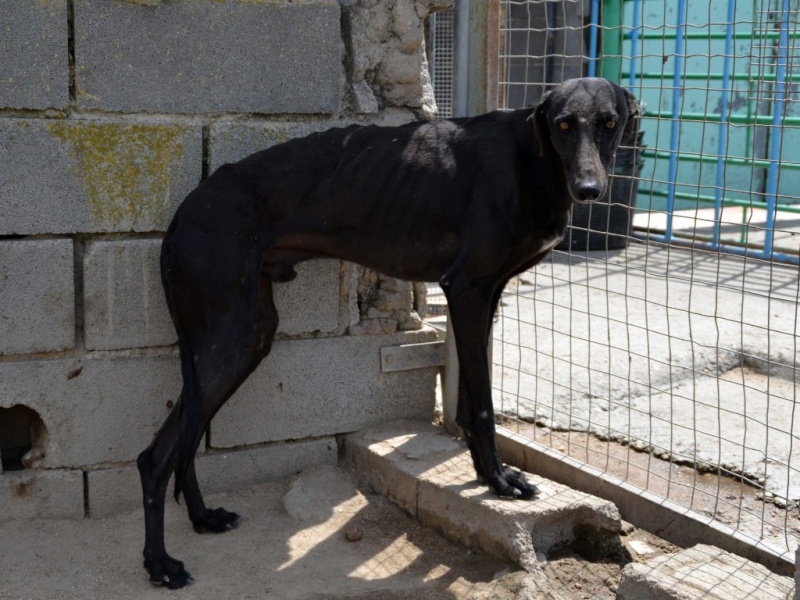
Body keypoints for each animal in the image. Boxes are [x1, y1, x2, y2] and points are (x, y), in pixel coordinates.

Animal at [136, 77, 636, 588]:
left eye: (610, 123)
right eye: (563, 125)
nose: (590, 189)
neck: (532, 158)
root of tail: (182, 215)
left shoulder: (486, 295)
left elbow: (470, 401)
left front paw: (485, 475)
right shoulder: (468, 289)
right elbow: (482, 406)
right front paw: (498, 482)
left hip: (247, 337)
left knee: (185, 438)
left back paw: (202, 518)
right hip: (230, 338)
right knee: (155, 458)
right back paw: (160, 564)